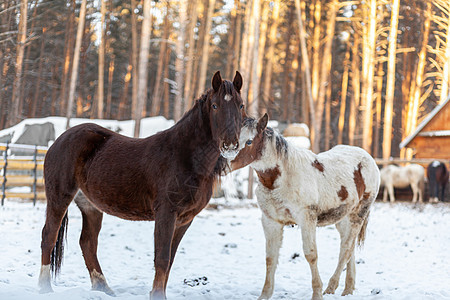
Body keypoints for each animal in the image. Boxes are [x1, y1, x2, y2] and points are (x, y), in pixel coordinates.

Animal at [38, 71, 246, 298]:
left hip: (90, 206)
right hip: (59, 197)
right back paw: (45, 288)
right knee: (49, 236)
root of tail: (60, 140)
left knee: (88, 243)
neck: (185, 157)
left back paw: (103, 288)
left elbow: (170, 260)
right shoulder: (166, 213)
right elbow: (162, 258)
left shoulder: (185, 220)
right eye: (215, 105)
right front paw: (157, 295)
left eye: (241, 105)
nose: (230, 145)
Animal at [230, 113, 382, 298]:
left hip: (358, 214)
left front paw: (317, 294)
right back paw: (348, 289)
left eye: (249, 141)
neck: (282, 178)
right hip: (342, 219)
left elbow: (311, 255)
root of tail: (367, 157)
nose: (227, 161)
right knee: (349, 247)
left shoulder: (307, 219)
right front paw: (264, 295)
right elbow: (271, 257)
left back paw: (331, 288)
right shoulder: (271, 221)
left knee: (345, 249)